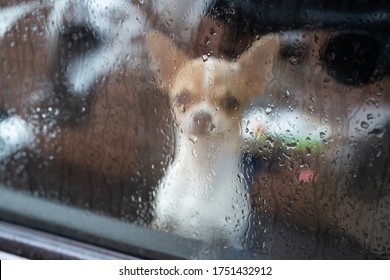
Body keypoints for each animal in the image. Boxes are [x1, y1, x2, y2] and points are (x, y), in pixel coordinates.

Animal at [147, 31, 280, 248]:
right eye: (182, 99)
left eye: (231, 102)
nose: (202, 117)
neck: (202, 169)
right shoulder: (162, 224)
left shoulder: (232, 241)